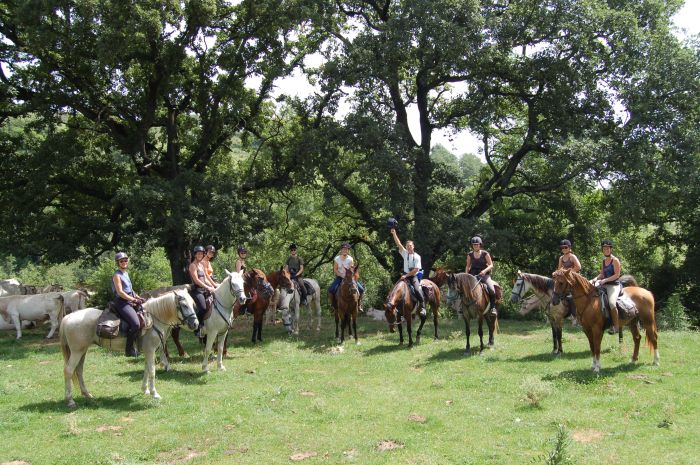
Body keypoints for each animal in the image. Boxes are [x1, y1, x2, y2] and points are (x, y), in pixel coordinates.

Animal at [57, 288, 200, 408]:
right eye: (184, 305)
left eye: (193, 304)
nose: (195, 324)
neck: (154, 319)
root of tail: (67, 317)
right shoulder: (150, 350)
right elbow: (152, 371)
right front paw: (155, 393)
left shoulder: (148, 351)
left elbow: (146, 370)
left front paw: (145, 390)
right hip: (76, 352)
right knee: (69, 371)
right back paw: (70, 400)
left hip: (82, 351)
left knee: (79, 371)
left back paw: (87, 394)